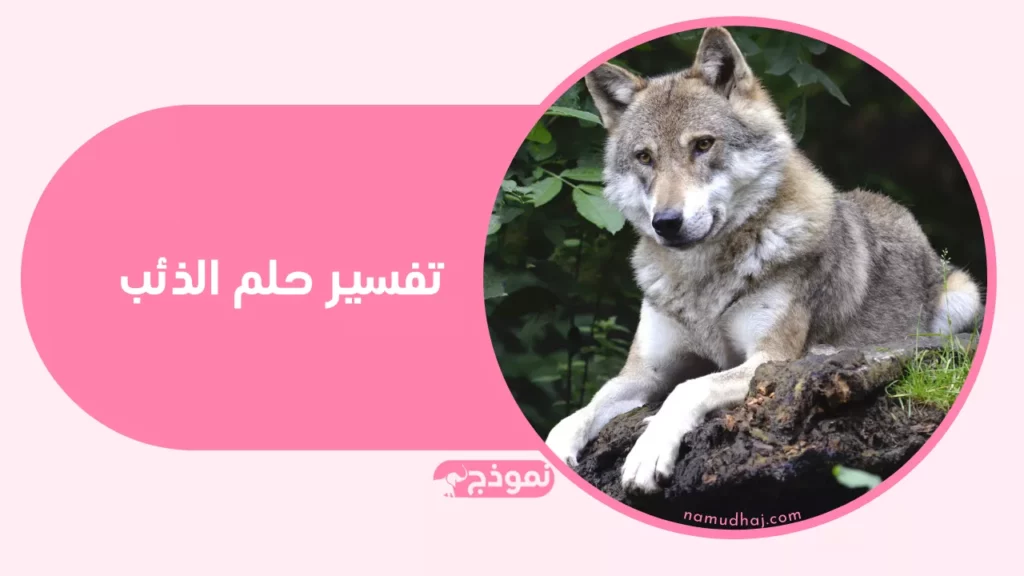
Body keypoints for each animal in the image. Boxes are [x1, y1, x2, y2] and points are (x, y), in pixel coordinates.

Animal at [544, 27, 983, 494]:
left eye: (703, 145)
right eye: (645, 157)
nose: (666, 222)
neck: (703, 281)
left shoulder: (766, 359)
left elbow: (689, 388)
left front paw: (648, 452)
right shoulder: (643, 373)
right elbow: (581, 410)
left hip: (962, 299)